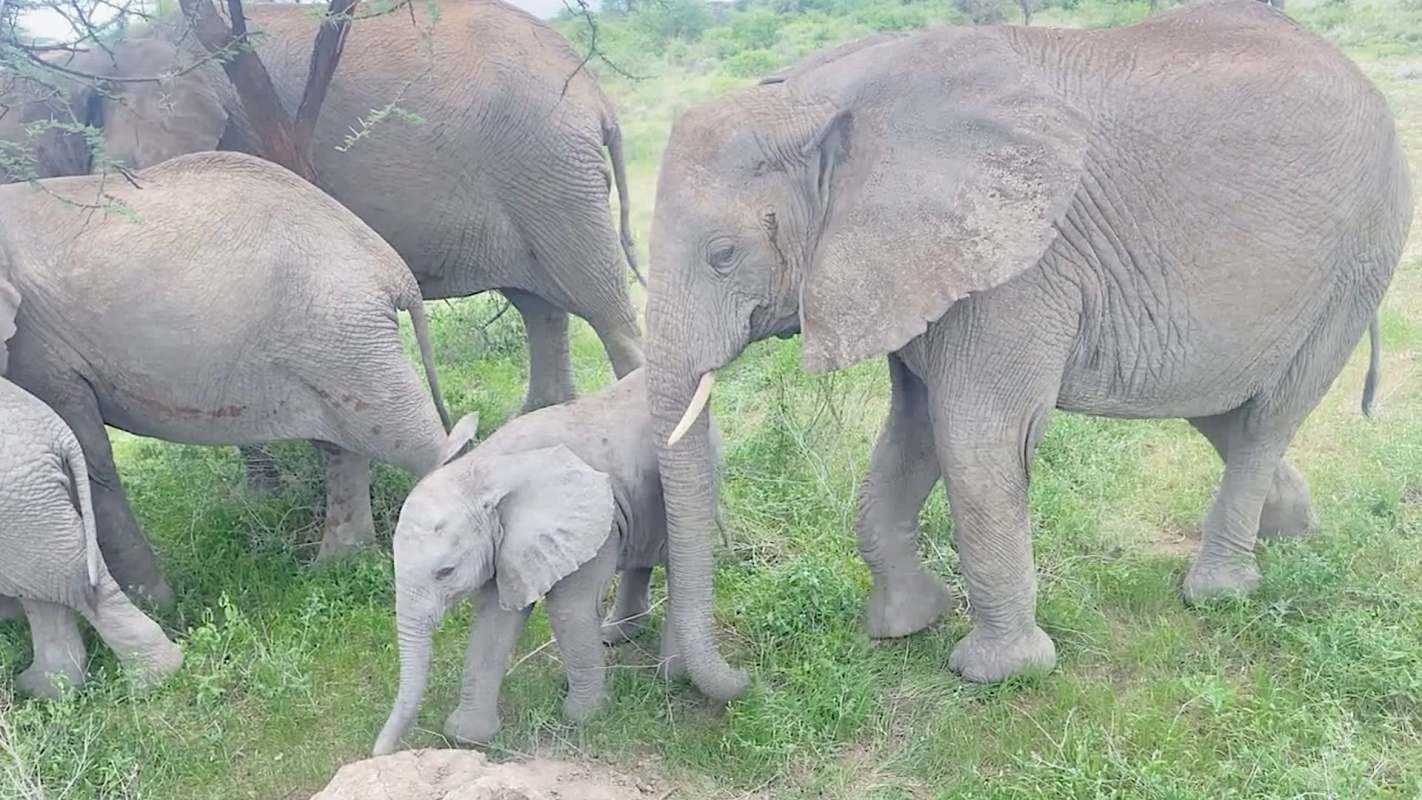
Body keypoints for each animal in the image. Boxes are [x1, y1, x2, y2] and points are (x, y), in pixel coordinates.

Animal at [0, 151, 453, 605]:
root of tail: (392, 267)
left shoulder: (36, 345)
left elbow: (89, 460)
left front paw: (158, 607)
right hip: (330, 344)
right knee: (342, 444)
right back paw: (339, 566)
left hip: (343, 331)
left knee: (409, 439)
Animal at [0, 372, 183, 698]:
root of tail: (60, 435)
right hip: (28, 501)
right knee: (45, 577)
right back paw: (44, 690)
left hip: (19, 495)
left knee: (61, 579)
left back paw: (150, 681)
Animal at [373, 368, 698, 755]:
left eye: (445, 573)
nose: (379, 753)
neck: (484, 470)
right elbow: (494, 616)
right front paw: (467, 736)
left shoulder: (585, 526)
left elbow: (569, 607)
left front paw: (583, 718)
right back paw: (617, 636)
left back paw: (671, 672)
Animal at [642, 0, 1413, 698]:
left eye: (721, 255)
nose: (737, 681)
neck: (812, 99)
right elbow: (911, 434)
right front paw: (906, 625)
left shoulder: (1015, 269)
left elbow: (974, 437)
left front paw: (999, 673)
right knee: (1223, 404)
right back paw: (1293, 533)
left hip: (1360, 255)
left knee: (1268, 416)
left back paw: (1219, 592)